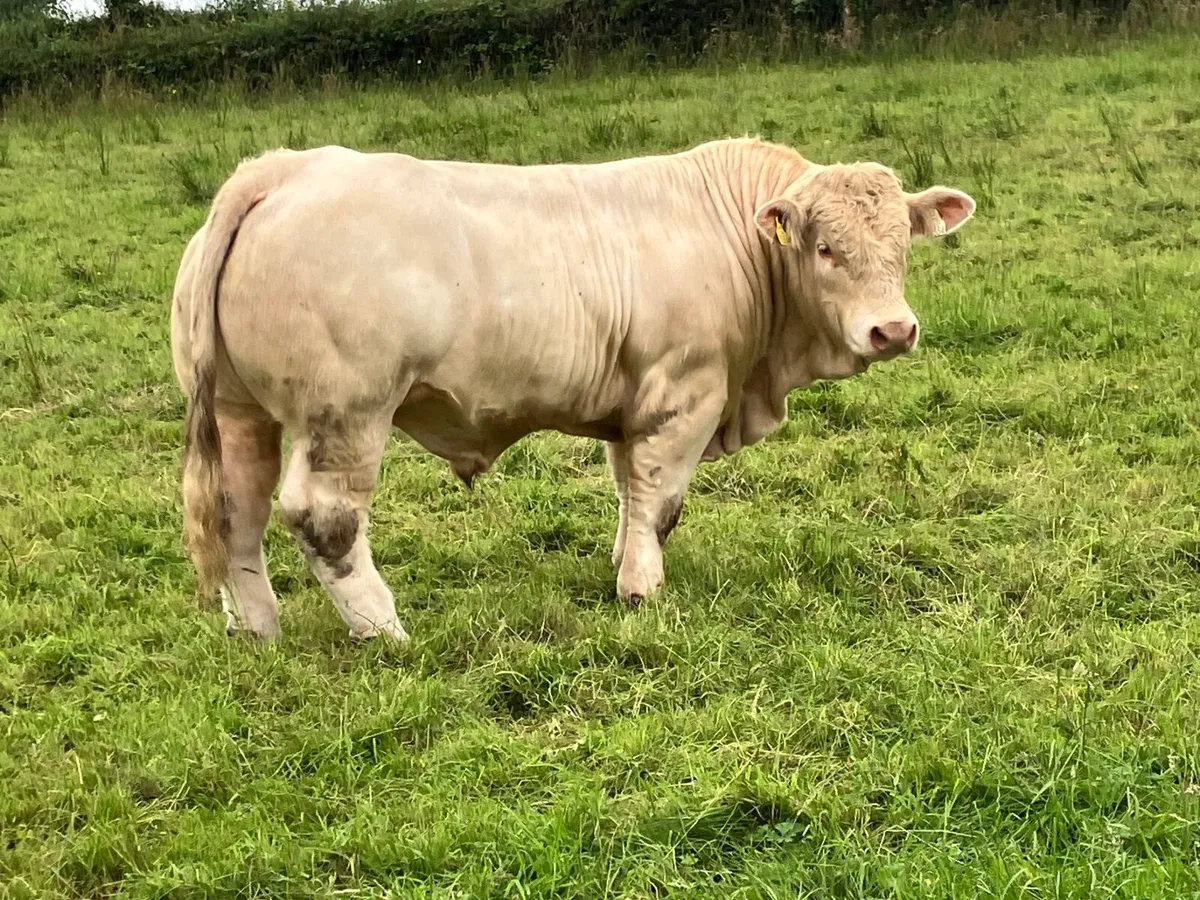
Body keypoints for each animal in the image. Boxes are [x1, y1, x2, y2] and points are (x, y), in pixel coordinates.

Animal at [170, 137, 975, 642]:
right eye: (826, 248)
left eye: (901, 246)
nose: (893, 330)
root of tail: (280, 170)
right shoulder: (684, 395)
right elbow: (661, 502)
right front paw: (643, 589)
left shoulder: (635, 405)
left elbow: (629, 492)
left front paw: (621, 566)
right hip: (346, 412)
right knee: (323, 518)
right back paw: (384, 629)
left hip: (240, 411)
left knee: (236, 513)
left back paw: (257, 631)